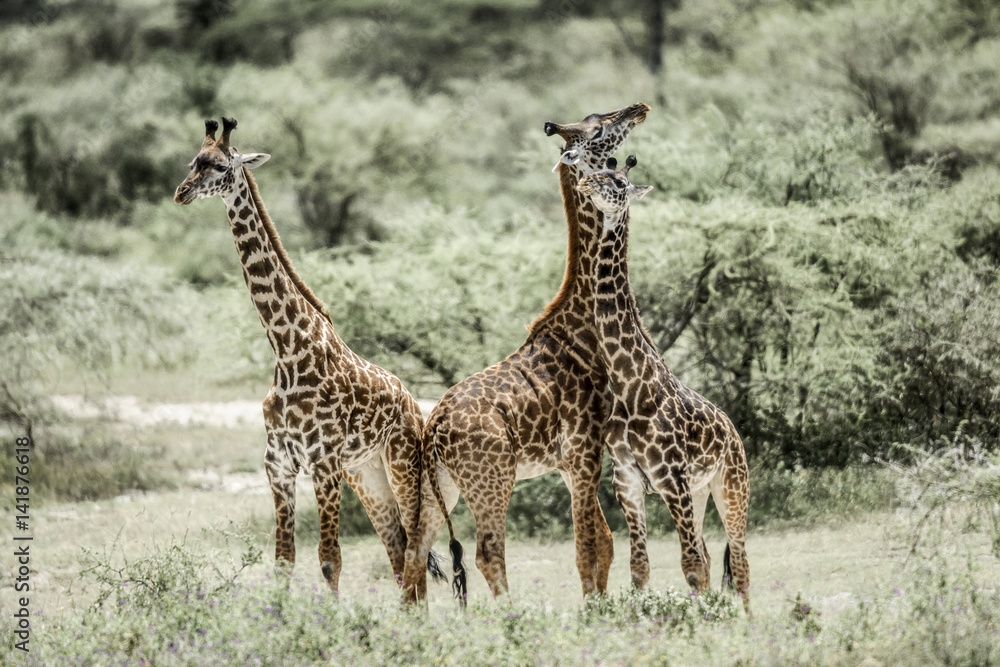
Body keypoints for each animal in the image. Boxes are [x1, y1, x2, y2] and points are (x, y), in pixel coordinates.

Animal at [173, 117, 427, 593]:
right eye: (192, 162)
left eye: (220, 166)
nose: (181, 192)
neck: (288, 350)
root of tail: (413, 404)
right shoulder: (278, 465)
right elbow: (283, 560)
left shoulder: (323, 465)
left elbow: (329, 560)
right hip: (366, 474)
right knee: (398, 546)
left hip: (402, 463)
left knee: (416, 546)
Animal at [401, 103, 652, 604]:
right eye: (599, 127)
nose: (639, 108)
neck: (583, 319)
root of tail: (434, 426)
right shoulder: (583, 451)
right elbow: (587, 547)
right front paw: (596, 611)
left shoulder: (573, 461)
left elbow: (603, 544)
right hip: (493, 479)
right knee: (487, 552)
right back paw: (512, 617)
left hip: (442, 485)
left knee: (415, 551)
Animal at [577, 156, 751, 610]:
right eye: (597, 171)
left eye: (619, 181)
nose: (585, 181)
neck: (628, 384)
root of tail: (733, 430)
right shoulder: (627, 482)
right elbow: (640, 568)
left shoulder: (671, 477)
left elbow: (691, 566)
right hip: (701, 491)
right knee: (711, 554)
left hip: (732, 487)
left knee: (739, 563)